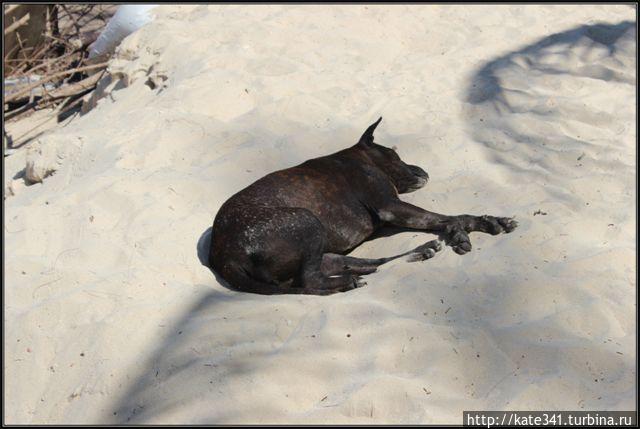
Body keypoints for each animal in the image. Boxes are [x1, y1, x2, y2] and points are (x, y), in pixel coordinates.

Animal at [208, 117, 516, 294]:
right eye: (395, 154)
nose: (423, 171)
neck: (357, 157)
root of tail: (225, 254)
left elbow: (452, 217)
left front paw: (488, 222)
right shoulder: (391, 205)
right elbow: (451, 217)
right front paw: (467, 230)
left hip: (321, 249)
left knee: (365, 265)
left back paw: (418, 252)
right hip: (306, 222)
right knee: (310, 282)